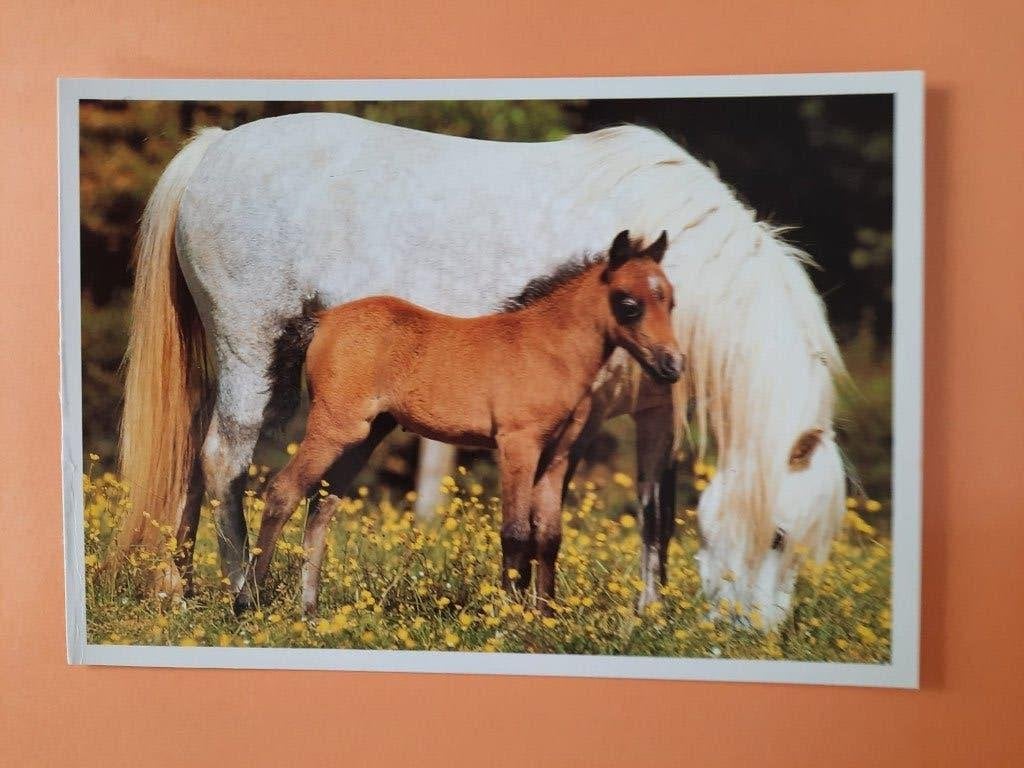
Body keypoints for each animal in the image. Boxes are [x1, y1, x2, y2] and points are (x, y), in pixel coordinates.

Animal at [245, 231, 682, 616]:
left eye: (671, 302)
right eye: (629, 304)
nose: (672, 365)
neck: (549, 350)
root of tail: (323, 318)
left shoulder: (557, 455)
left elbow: (549, 536)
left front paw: (544, 617)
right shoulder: (518, 444)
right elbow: (516, 532)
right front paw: (510, 620)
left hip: (366, 436)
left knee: (321, 507)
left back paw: (309, 611)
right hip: (336, 427)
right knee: (283, 491)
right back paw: (248, 602)